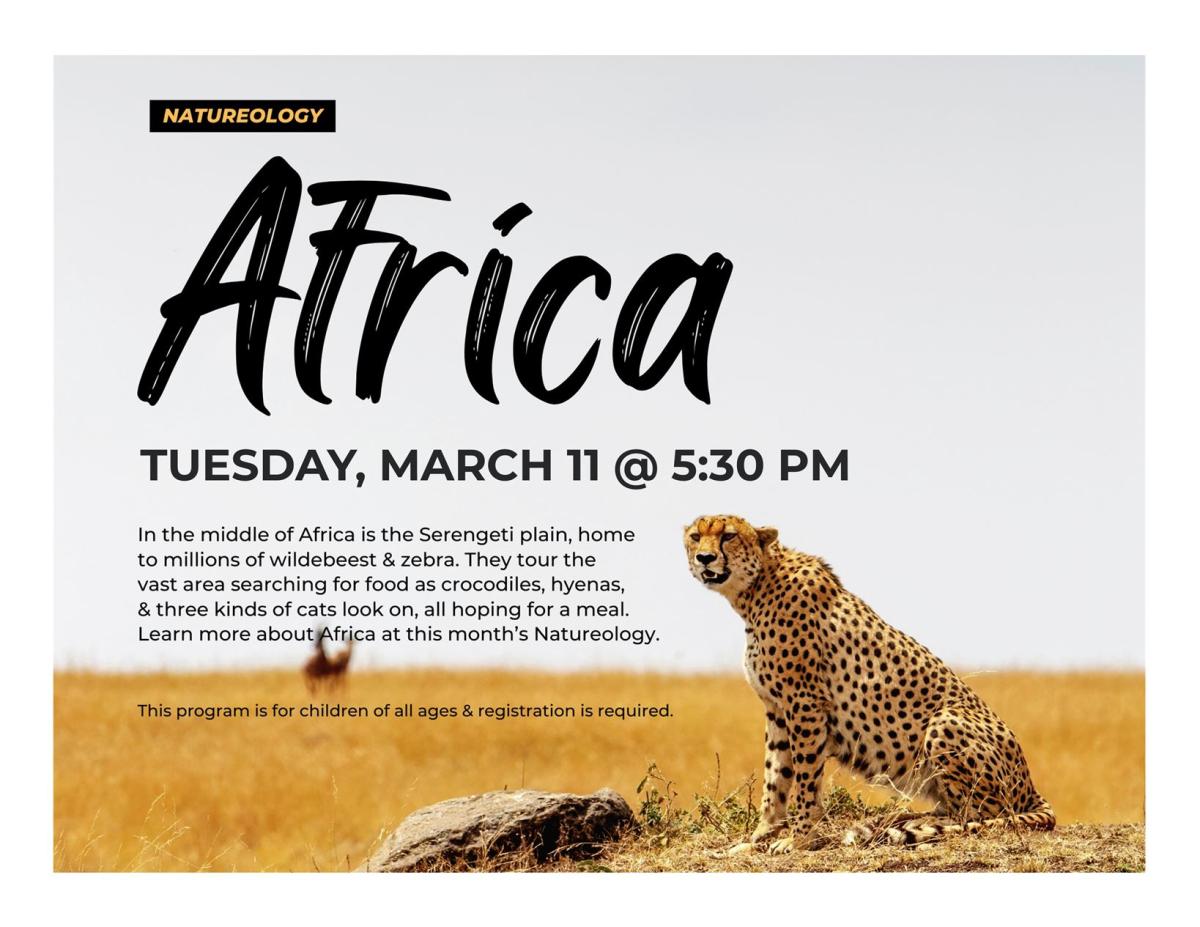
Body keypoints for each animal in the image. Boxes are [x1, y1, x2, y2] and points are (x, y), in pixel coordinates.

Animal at [681, 513, 1056, 854]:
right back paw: (895, 820)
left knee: (980, 814)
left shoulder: (805, 704)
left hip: (946, 721)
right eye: (696, 536)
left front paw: (799, 839)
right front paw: (761, 835)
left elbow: (804, 778)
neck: (757, 588)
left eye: (729, 536)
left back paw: (905, 825)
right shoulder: (777, 709)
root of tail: (1032, 788)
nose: (705, 558)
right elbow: (776, 775)